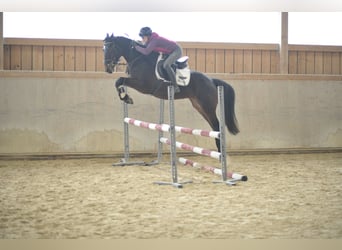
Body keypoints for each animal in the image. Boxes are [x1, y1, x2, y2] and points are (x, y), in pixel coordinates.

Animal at [103, 33, 239, 150]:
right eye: (103, 48)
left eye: (110, 48)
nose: (108, 69)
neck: (138, 58)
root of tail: (211, 80)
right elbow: (119, 82)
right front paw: (125, 97)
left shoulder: (143, 85)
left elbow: (119, 80)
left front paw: (126, 98)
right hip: (199, 106)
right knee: (214, 126)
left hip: (207, 106)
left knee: (216, 125)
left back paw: (220, 152)